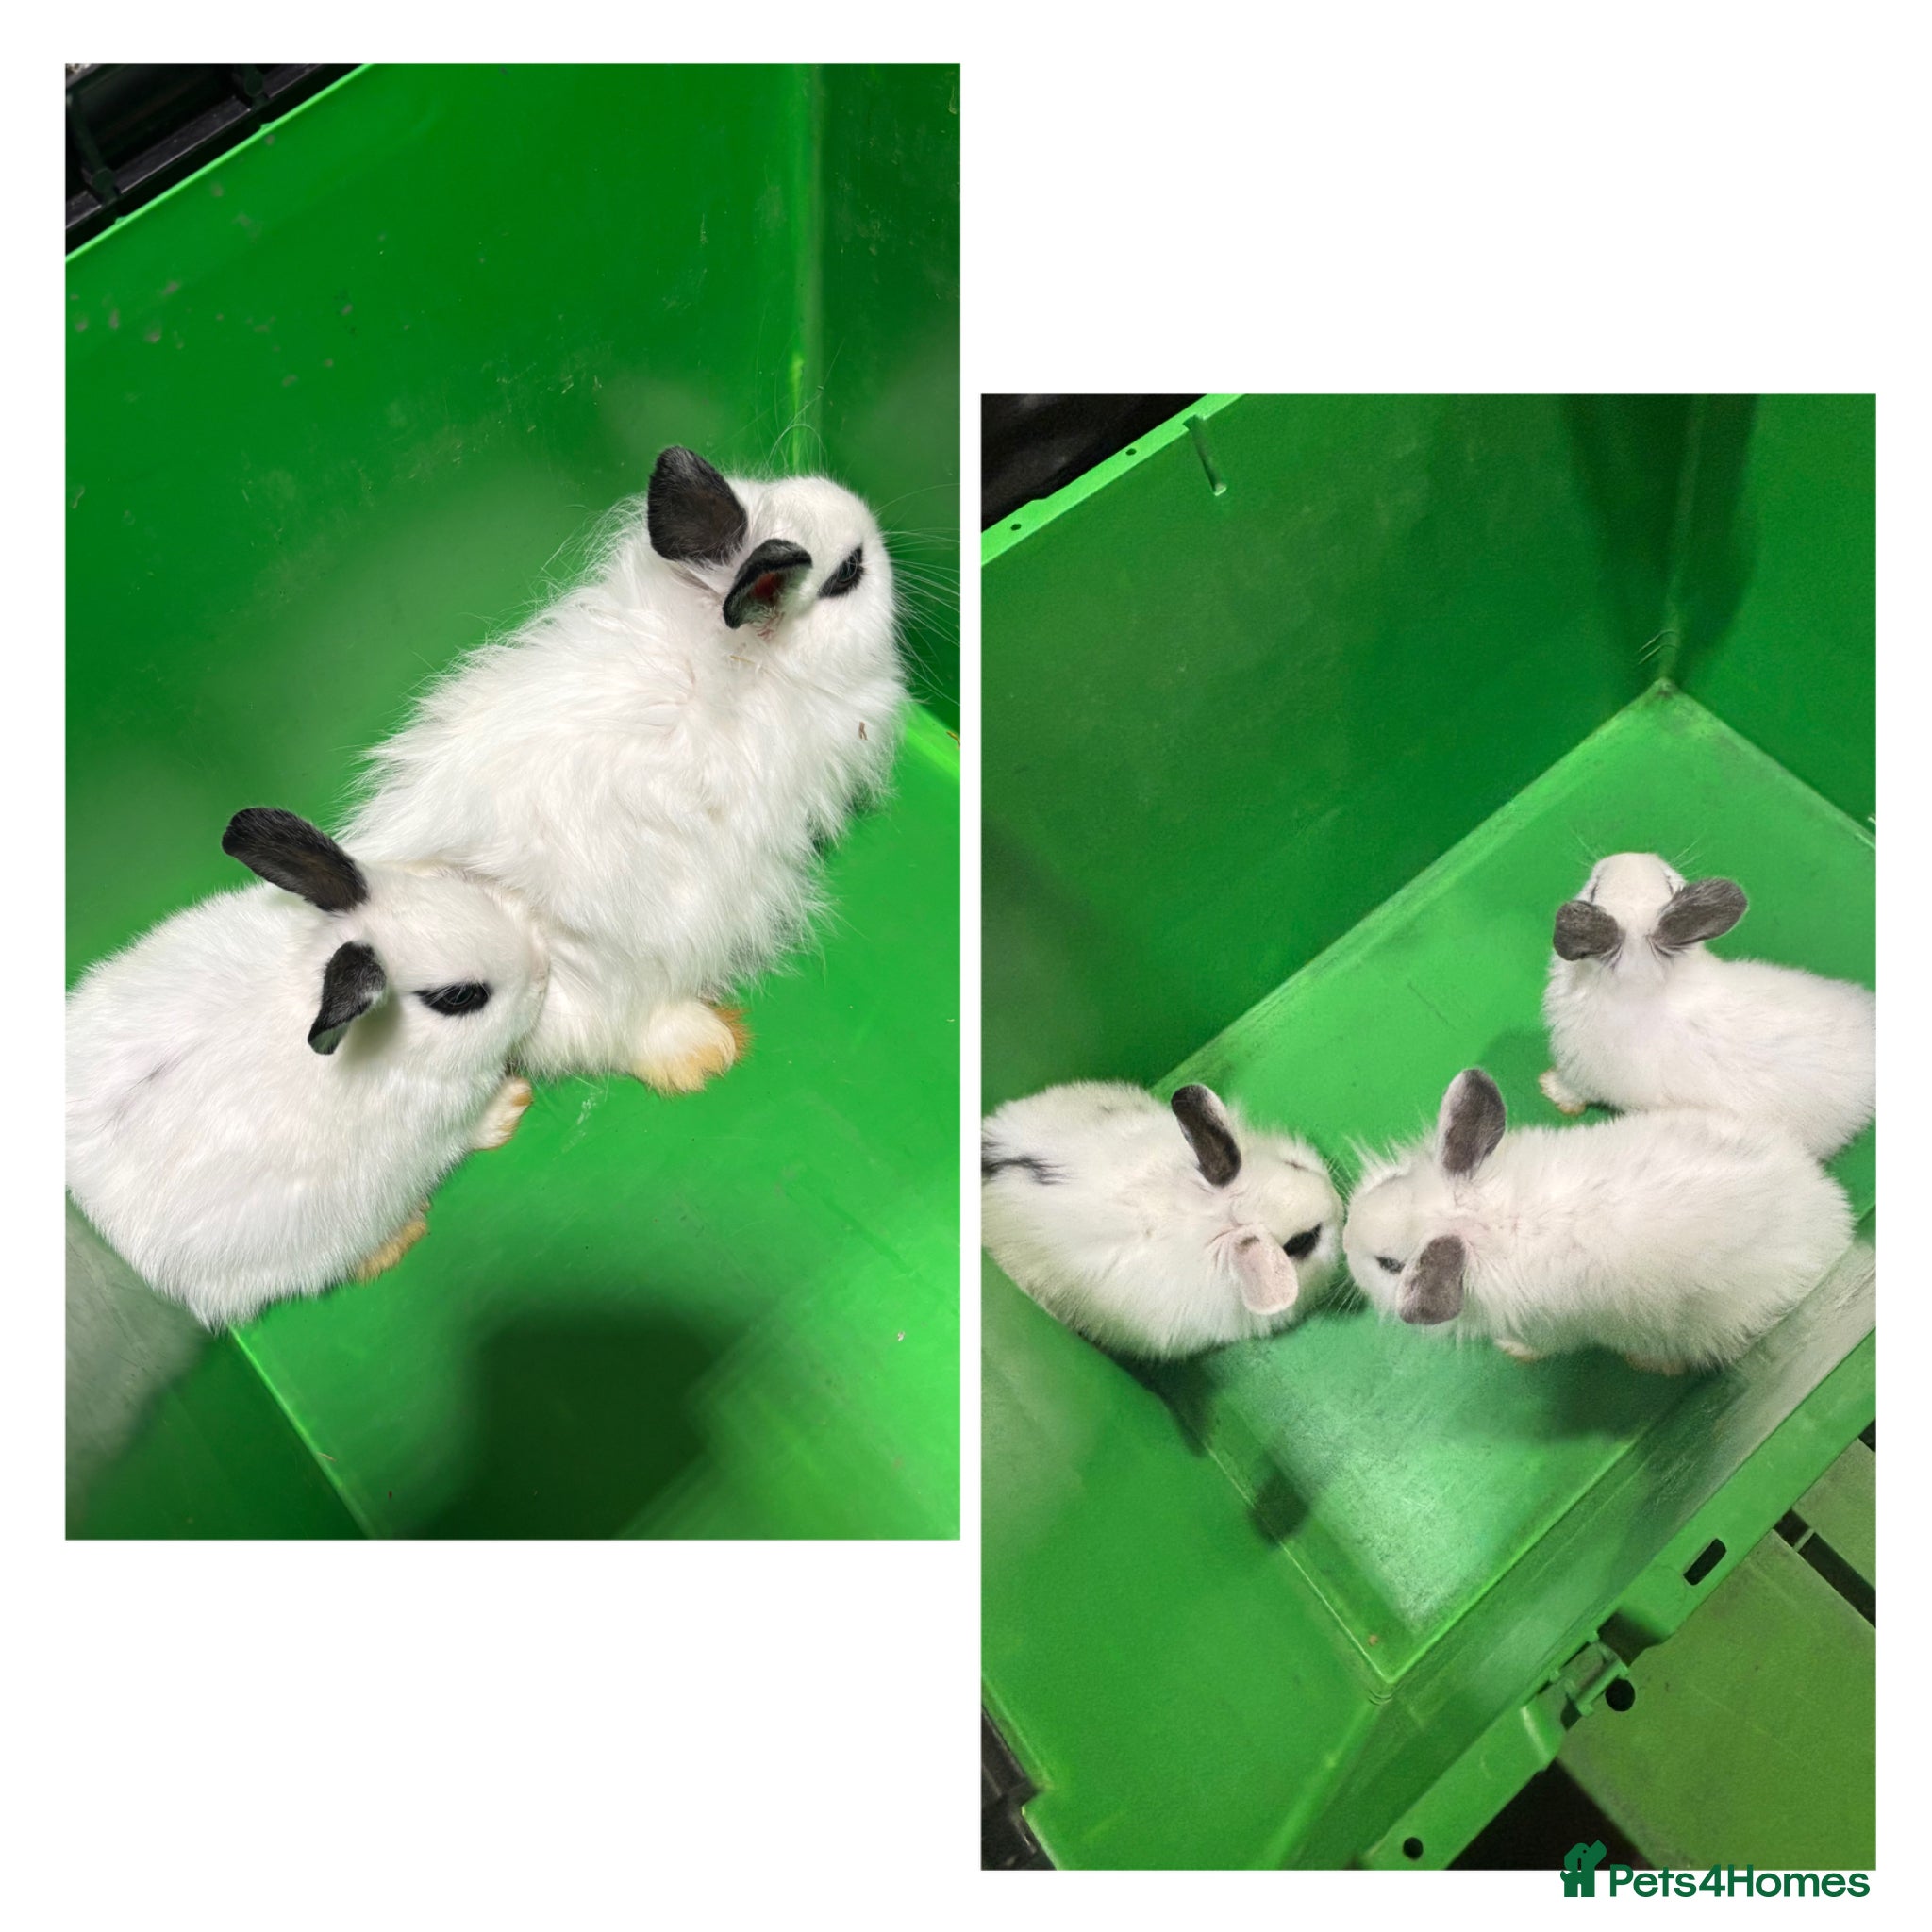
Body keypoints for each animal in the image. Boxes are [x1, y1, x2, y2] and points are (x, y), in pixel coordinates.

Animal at [66, 808, 549, 1330]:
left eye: (450, 884)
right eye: (459, 997)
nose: (543, 969)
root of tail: (91, 1204)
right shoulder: (445, 1123)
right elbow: (471, 1131)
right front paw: (514, 1103)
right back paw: (400, 1237)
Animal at [1343, 1067, 1854, 1373]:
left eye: (1389, 1265)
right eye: (1396, 1179)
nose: (1346, 1239)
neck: (1484, 1220)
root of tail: (1835, 1217)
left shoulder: (1546, 1329)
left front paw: (1511, 1351)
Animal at [1540, 851, 1875, 1159]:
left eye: (1594, 889)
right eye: (1670, 884)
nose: (1629, 855)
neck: (1645, 983)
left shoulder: (1580, 1073)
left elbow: (1571, 1090)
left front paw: (1549, 1087)